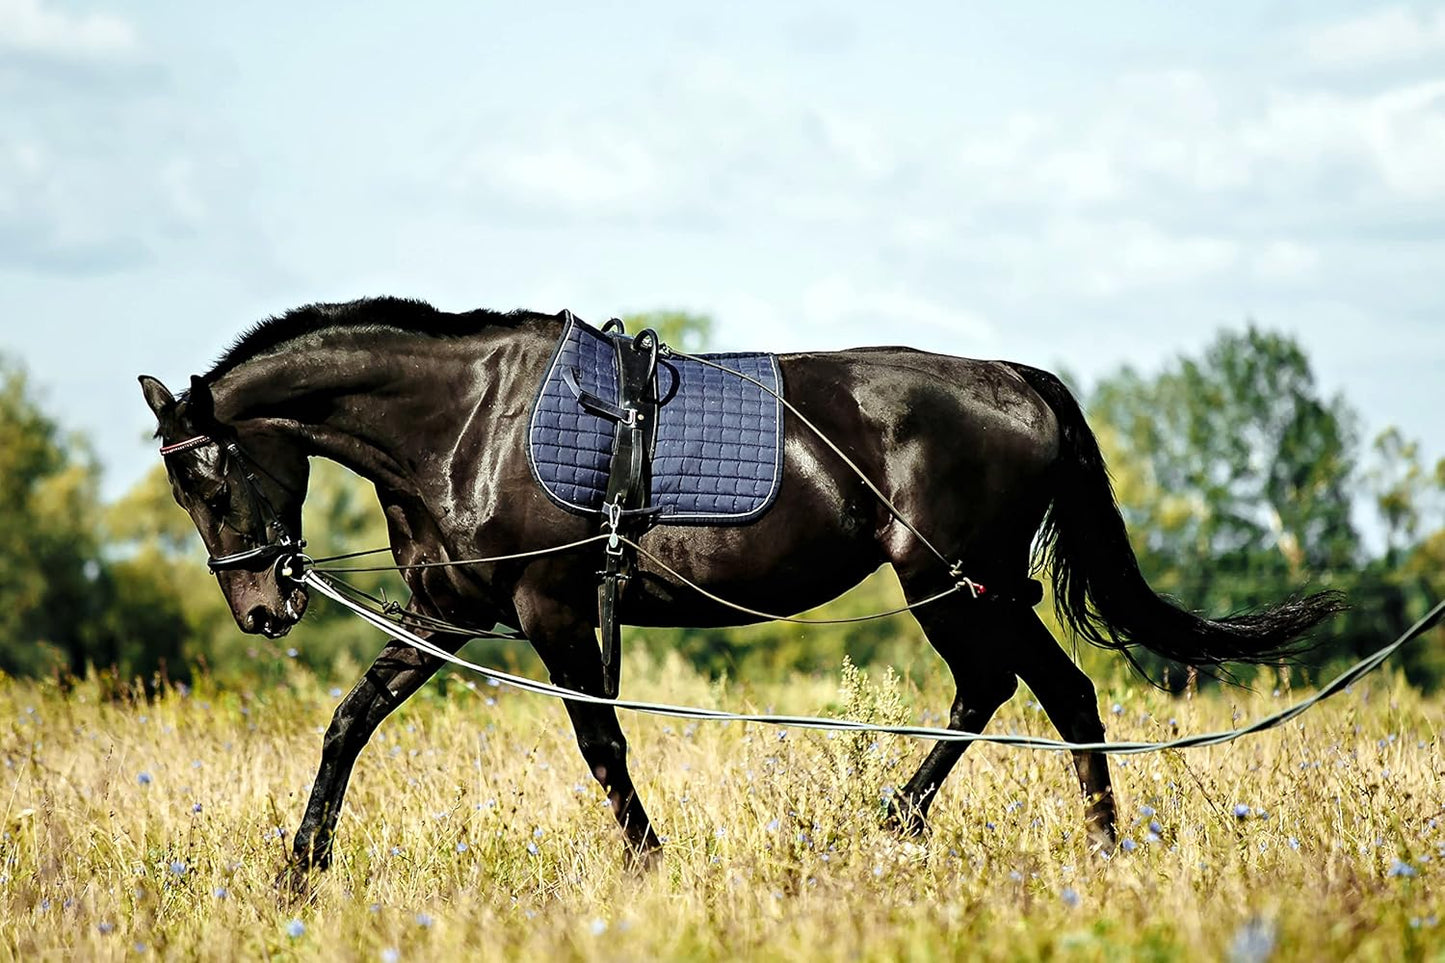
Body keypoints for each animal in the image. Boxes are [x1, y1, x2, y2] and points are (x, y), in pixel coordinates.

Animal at [138, 297, 1343, 882]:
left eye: (210, 471)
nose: (262, 609)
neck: (467, 422)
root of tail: (1018, 380)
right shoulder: (451, 612)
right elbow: (348, 725)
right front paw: (299, 871)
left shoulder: (549, 610)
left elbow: (601, 743)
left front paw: (649, 864)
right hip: (973, 588)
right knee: (1041, 696)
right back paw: (1014, 836)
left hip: (958, 585)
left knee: (1023, 693)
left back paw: (953, 828)